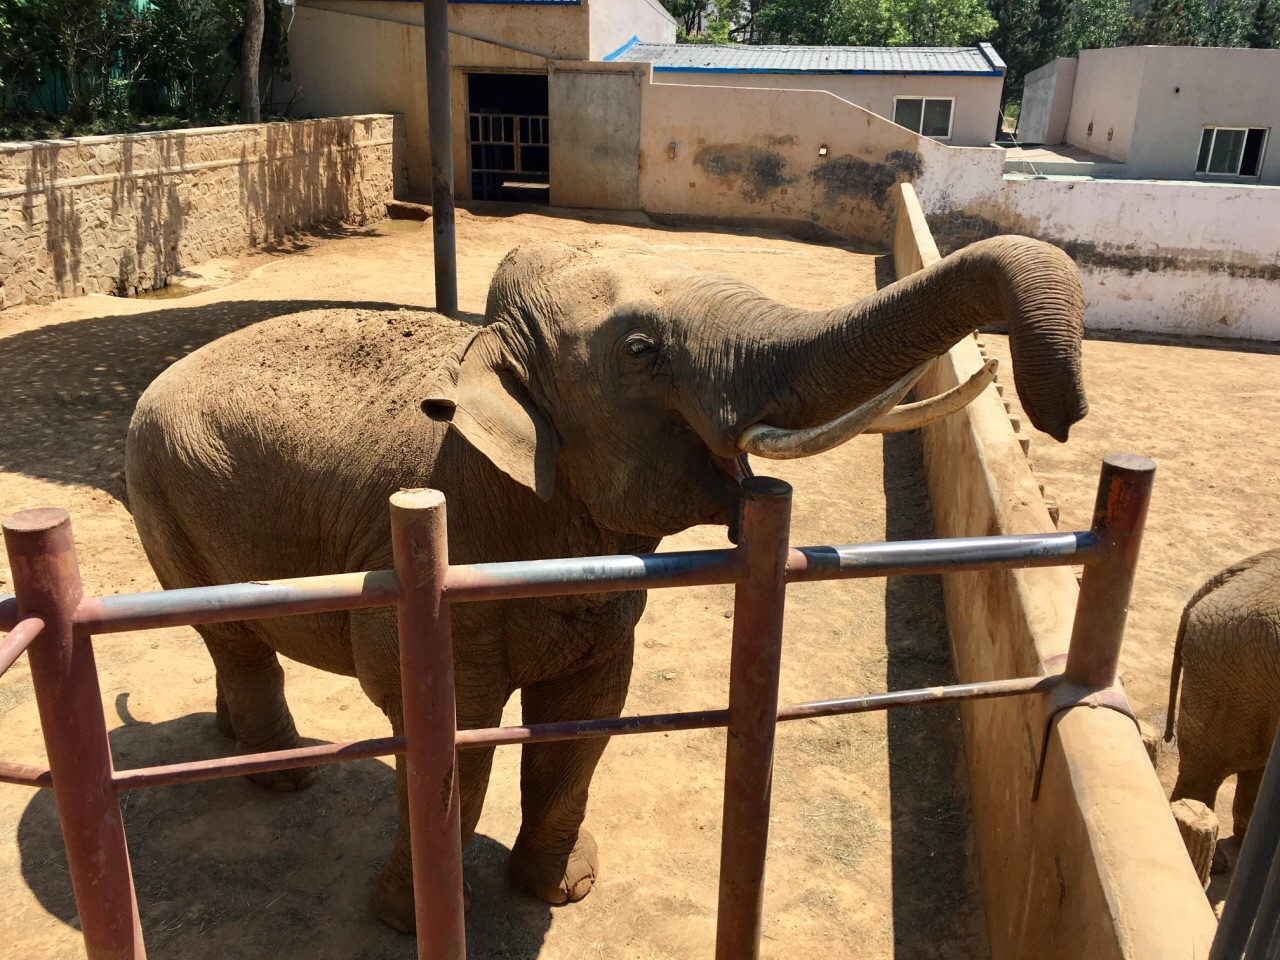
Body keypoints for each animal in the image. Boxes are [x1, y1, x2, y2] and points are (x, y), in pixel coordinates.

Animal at [124, 232, 1090, 931]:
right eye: (641, 350)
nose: (1062, 416)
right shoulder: (418, 572)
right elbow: (454, 741)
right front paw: (408, 921)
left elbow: (588, 716)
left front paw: (564, 890)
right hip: (161, 493)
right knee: (234, 638)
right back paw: (281, 777)